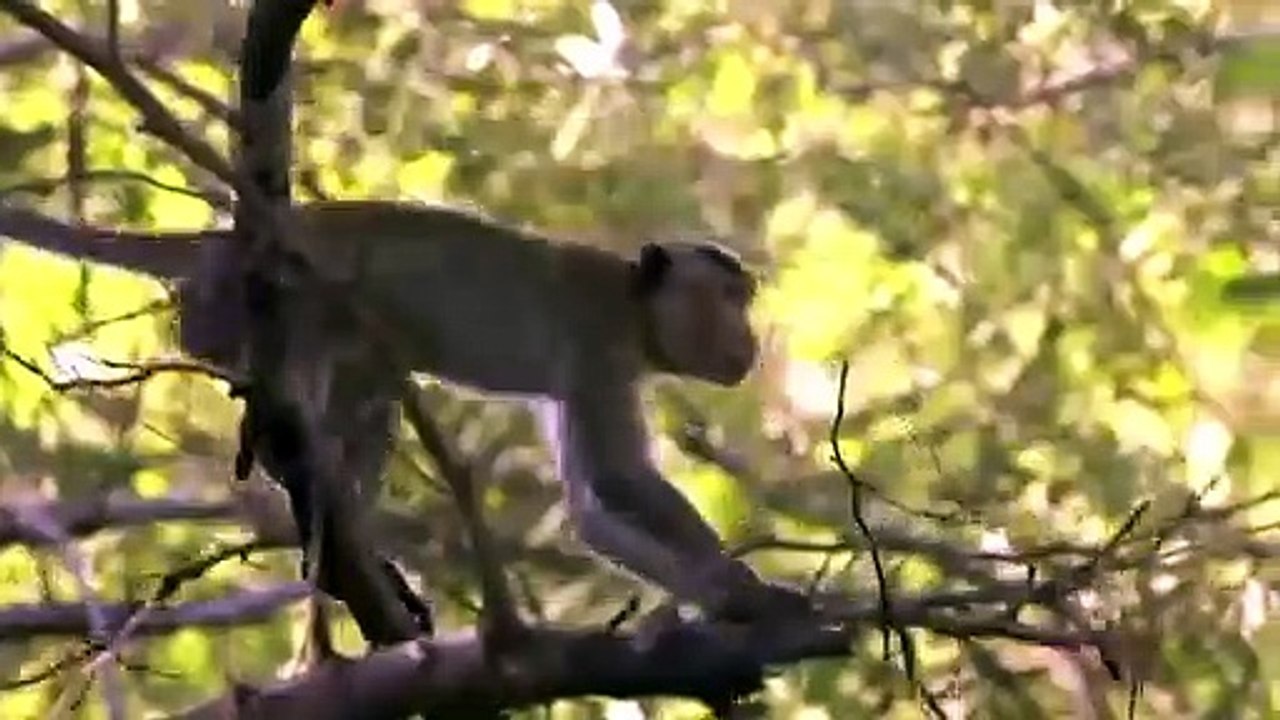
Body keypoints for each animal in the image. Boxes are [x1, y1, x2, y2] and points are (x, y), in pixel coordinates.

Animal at [0, 200, 811, 626]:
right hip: (259, 304)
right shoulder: (598, 345)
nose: (748, 339)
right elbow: (620, 480)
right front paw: (740, 587)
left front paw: (724, 600)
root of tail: (222, 245)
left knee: (370, 400)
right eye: (726, 298)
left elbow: (593, 508)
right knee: (304, 378)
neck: (635, 309)